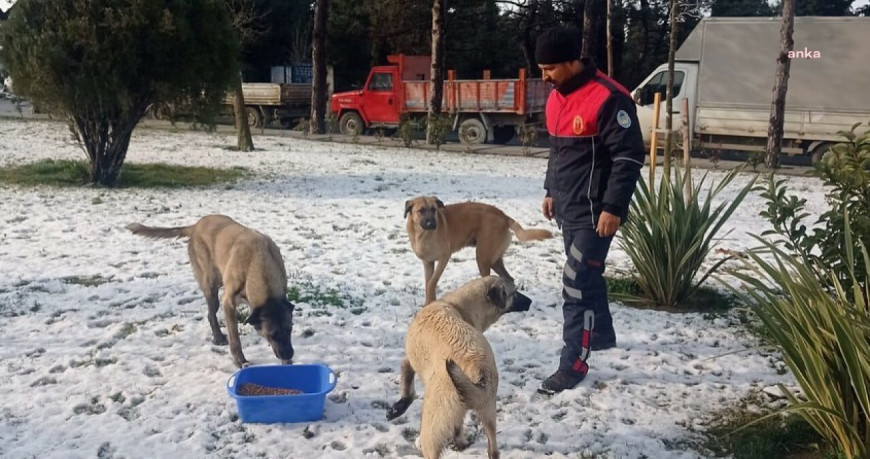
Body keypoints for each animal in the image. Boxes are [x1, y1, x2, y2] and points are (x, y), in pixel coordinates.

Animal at [125, 216, 296, 370]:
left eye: (290, 329)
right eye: (272, 335)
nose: (289, 355)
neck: (259, 263)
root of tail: (195, 225)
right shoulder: (228, 302)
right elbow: (235, 338)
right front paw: (240, 361)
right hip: (211, 287)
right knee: (211, 315)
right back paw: (218, 337)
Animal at [386, 276, 532, 459]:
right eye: (514, 292)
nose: (530, 302)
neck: (456, 305)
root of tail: (478, 367)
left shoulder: (409, 361)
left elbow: (407, 384)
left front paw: (396, 409)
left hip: (431, 426)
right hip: (488, 412)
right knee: (493, 450)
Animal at [408, 195, 556, 306]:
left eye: (433, 209)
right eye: (421, 210)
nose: (431, 224)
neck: (422, 235)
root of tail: (504, 216)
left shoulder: (444, 257)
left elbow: (432, 282)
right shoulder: (428, 263)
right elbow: (428, 283)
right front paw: (428, 303)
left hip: (482, 257)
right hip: (494, 260)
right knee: (509, 279)